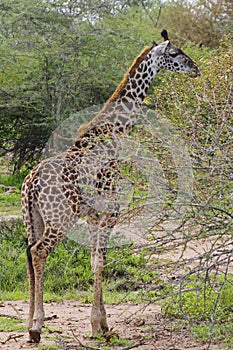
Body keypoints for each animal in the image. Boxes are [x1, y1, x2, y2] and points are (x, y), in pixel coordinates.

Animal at [21, 29, 200, 342]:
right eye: (175, 53)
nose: (195, 68)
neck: (115, 132)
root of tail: (30, 185)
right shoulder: (111, 212)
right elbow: (102, 260)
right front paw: (99, 326)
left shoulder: (95, 216)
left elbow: (95, 259)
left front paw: (101, 324)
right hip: (60, 219)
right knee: (40, 252)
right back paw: (36, 326)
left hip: (33, 220)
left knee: (30, 255)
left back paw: (30, 323)